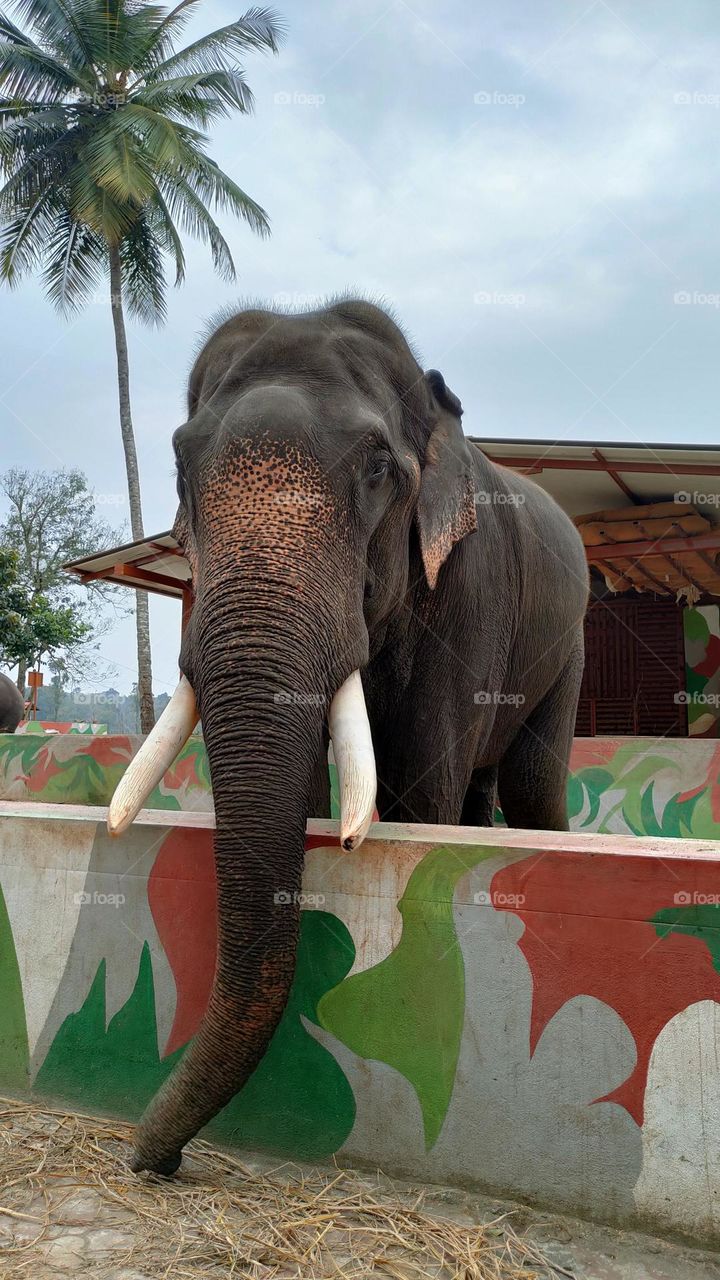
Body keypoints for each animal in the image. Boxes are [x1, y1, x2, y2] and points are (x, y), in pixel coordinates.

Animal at [110, 298, 588, 1175]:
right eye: (180, 465)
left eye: (377, 468)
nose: (148, 1160)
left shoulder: (469, 587)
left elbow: (419, 779)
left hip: (566, 638)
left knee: (532, 783)